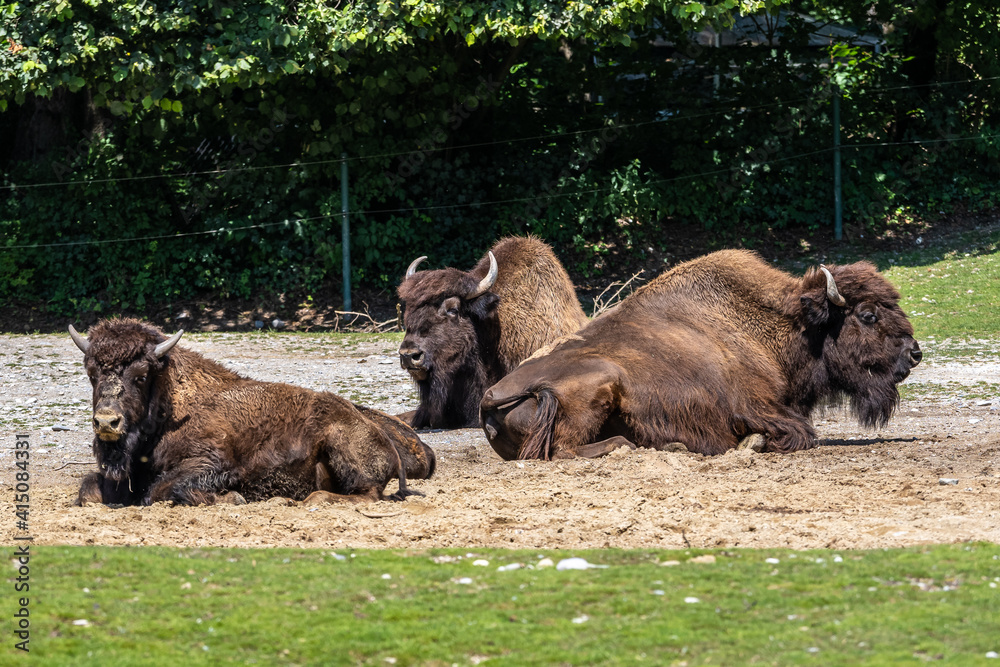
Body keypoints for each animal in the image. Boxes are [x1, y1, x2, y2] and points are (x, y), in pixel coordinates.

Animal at [69, 318, 435, 506]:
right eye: (91, 373)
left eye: (142, 375)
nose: (106, 422)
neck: (173, 402)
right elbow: (89, 490)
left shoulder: (210, 461)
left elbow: (160, 491)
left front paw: (232, 498)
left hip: (339, 445)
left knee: (366, 494)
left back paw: (304, 501)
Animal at [479, 249, 922, 460]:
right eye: (867, 314)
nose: (914, 354)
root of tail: (490, 397)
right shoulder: (756, 406)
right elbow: (800, 433)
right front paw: (754, 444)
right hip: (599, 382)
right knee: (567, 450)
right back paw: (648, 447)